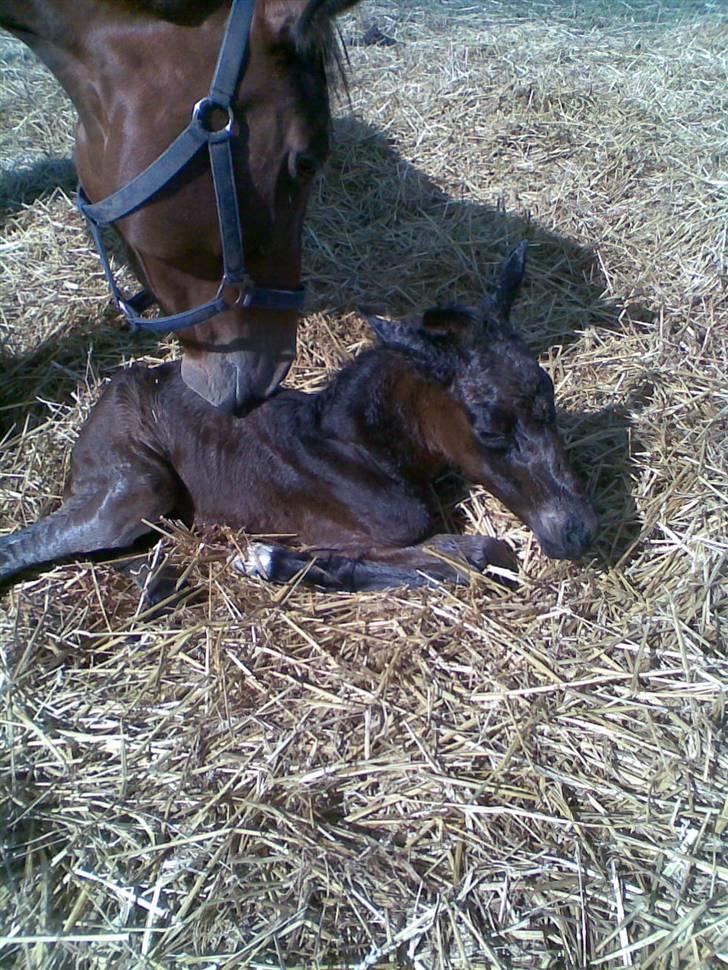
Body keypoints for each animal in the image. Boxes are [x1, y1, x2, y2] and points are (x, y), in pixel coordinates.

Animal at [0, 242, 596, 588]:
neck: (363, 447)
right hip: (136, 487)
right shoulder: (350, 533)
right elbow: (479, 553)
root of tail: (116, 385)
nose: (579, 532)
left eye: (551, 401)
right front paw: (265, 560)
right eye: (490, 428)